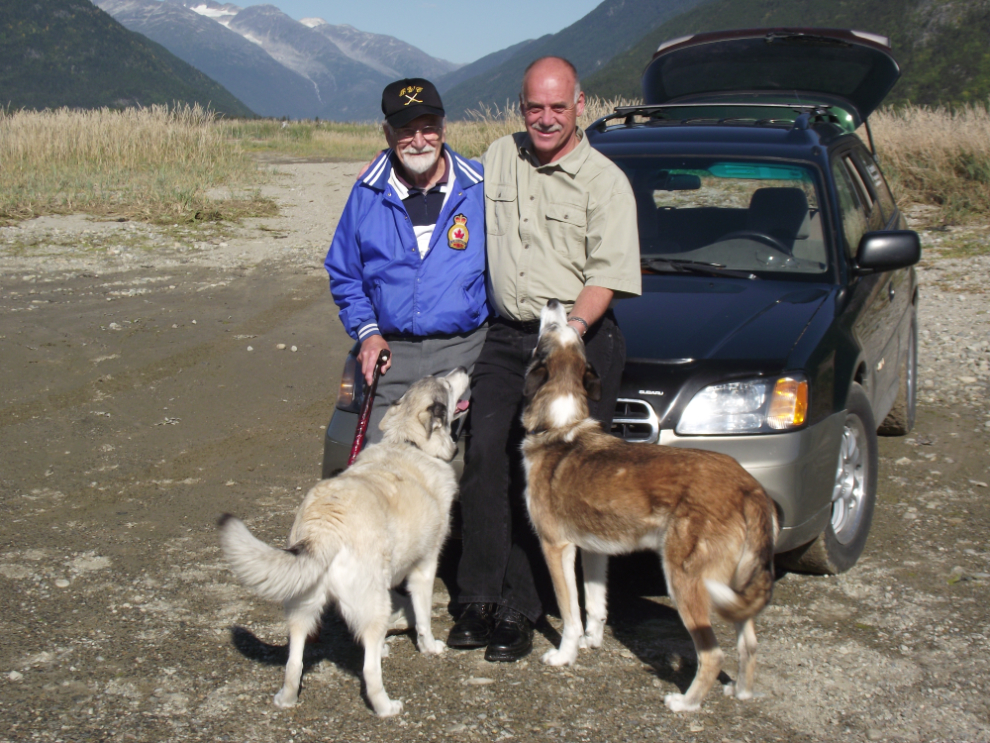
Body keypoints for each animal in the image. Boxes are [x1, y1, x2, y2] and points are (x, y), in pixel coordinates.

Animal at [524, 300, 780, 712]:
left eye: (550, 330)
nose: (554, 303)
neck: (560, 427)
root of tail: (749, 488)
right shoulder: (593, 550)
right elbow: (594, 605)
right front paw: (591, 642)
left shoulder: (556, 547)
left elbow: (570, 612)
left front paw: (565, 655)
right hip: (738, 582)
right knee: (749, 643)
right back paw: (739, 692)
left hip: (684, 579)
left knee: (713, 654)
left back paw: (685, 703)